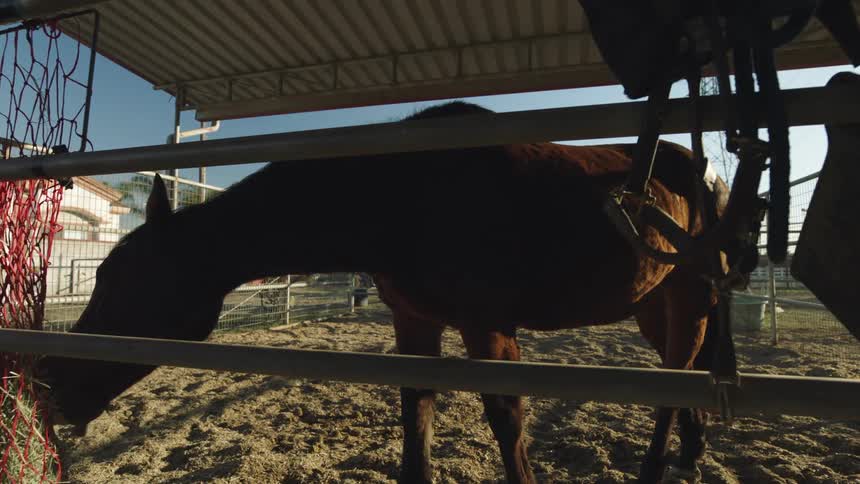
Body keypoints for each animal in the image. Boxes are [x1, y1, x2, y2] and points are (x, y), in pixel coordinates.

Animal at [39, 101, 738, 484]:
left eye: (128, 283)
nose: (52, 388)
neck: (407, 194)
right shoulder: (414, 322)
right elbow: (416, 415)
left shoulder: (489, 326)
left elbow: (506, 421)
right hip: (653, 307)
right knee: (688, 378)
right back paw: (691, 457)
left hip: (688, 302)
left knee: (675, 384)